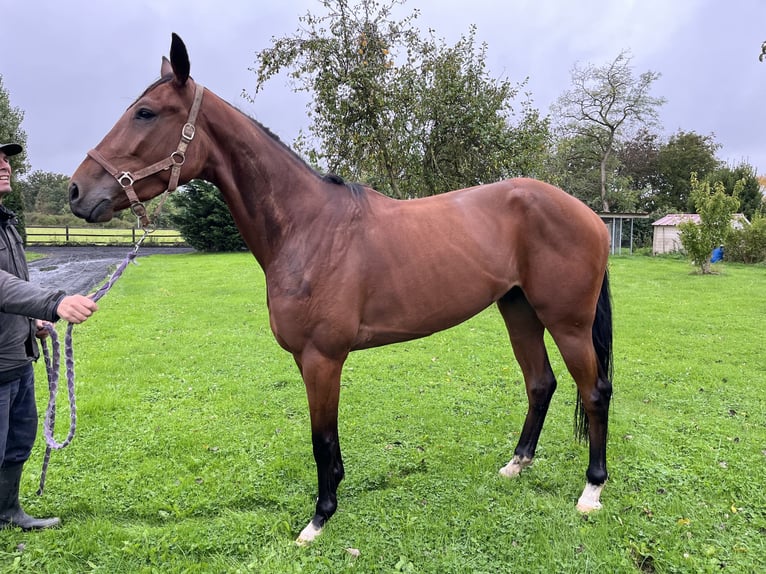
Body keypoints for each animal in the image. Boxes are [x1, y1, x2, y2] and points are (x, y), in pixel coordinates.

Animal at [69, 33, 616, 548]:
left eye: (145, 113)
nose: (77, 191)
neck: (307, 228)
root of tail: (588, 215)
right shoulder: (305, 358)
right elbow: (324, 439)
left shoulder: (322, 357)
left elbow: (321, 439)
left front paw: (319, 517)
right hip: (518, 309)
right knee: (540, 383)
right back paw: (516, 464)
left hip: (566, 322)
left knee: (594, 390)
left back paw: (592, 490)